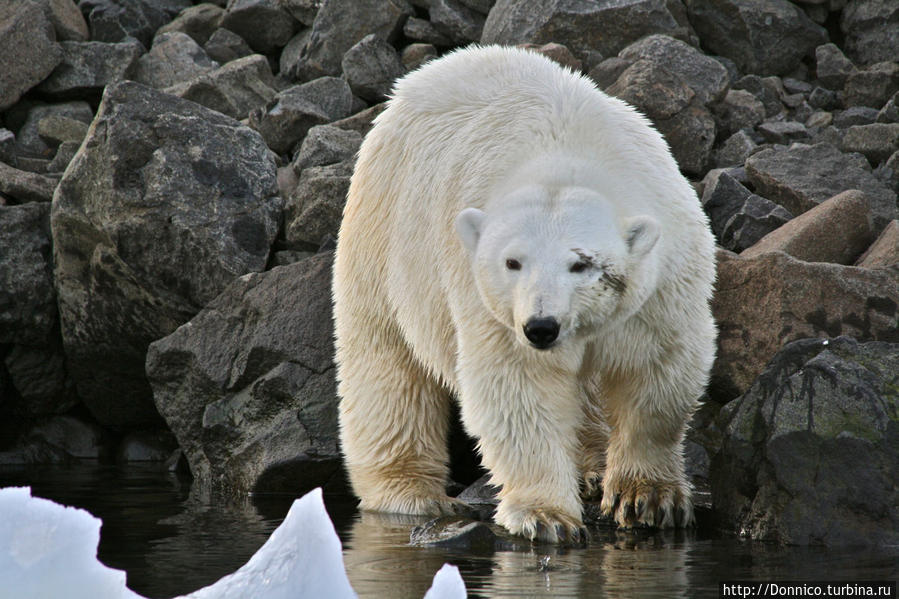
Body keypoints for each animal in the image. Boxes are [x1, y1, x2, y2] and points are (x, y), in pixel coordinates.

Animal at [332, 45, 716, 544]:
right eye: (512, 262)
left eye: (581, 263)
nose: (541, 327)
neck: (569, 152)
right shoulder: (489, 305)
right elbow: (518, 388)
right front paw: (546, 515)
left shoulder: (663, 283)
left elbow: (660, 374)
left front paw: (649, 498)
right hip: (385, 227)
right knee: (386, 362)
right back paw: (412, 493)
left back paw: (591, 466)